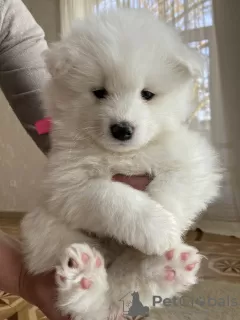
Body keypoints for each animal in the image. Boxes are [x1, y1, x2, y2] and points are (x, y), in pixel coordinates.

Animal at [20, 8, 221, 320]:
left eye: (147, 94)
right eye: (99, 92)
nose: (122, 129)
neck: (124, 154)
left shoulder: (194, 160)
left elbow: (172, 191)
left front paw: (166, 230)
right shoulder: (69, 183)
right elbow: (113, 197)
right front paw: (156, 227)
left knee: (130, 285)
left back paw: (167, 268)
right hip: (43, 228)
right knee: (91, 300)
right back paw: (84, 277)